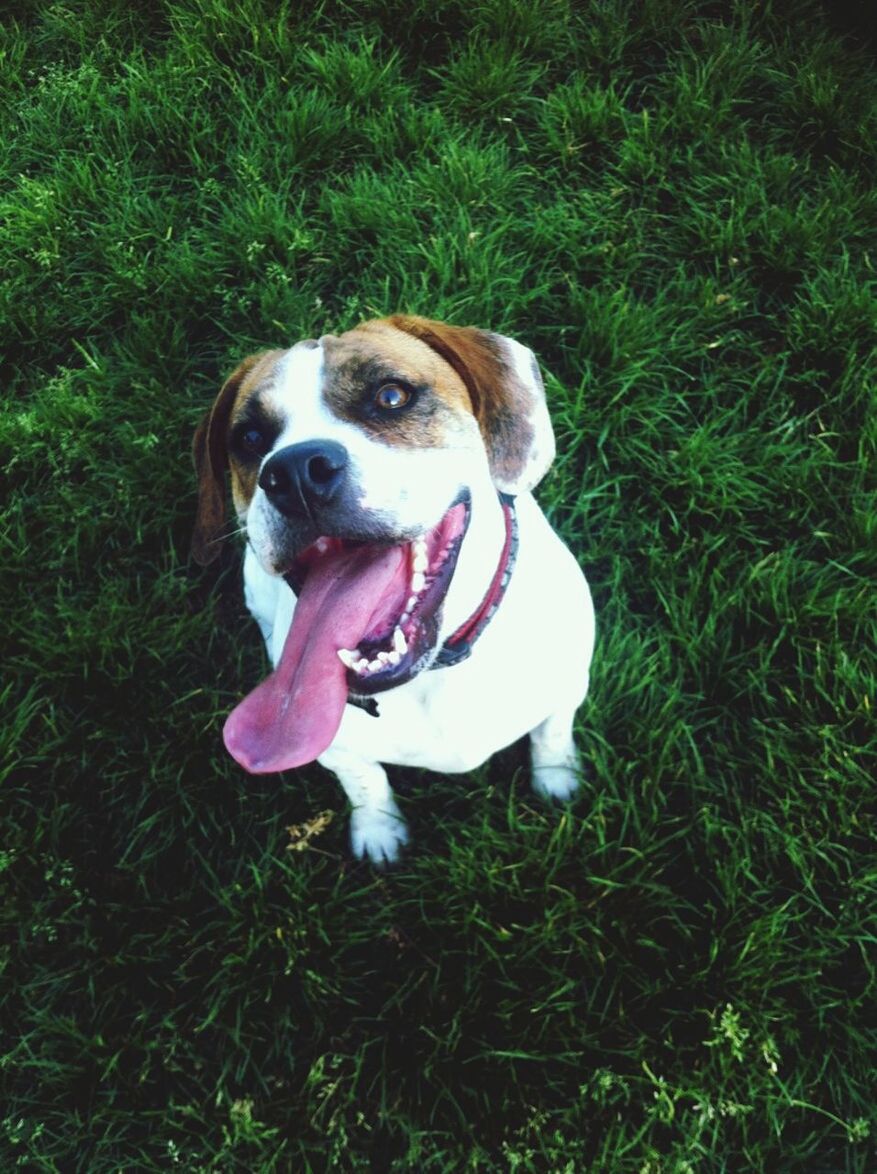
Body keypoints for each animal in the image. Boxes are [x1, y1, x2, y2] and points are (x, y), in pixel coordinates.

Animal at [192, 312, 596, 864]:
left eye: (390, 396)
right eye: (251, 437)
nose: (295, 471)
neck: (435, 671)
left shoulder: (568, 687)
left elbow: (553, 733)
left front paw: (557, 778)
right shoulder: (336, 749)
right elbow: (366, 783)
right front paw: (378, 831)